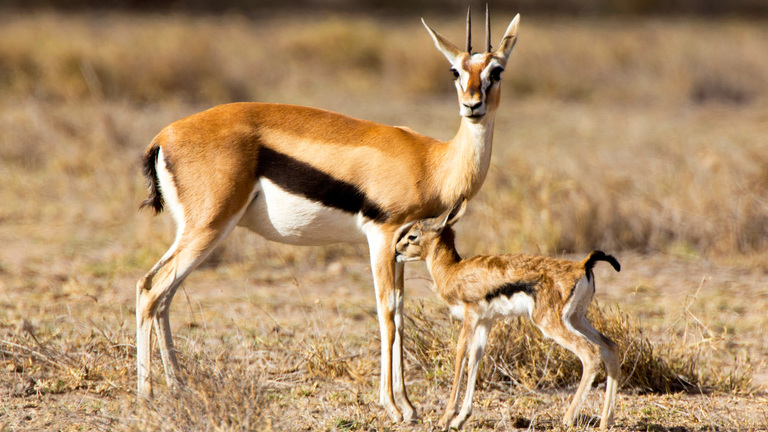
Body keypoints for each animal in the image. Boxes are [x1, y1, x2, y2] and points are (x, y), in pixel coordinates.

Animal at [135, 7, 520, 422]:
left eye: (497, 70)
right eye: (455, 71)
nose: (473, 105)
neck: (433, 161)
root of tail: (163, 138)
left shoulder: (402, 245)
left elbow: (400, 313)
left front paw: (408, 405)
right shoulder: (382, 237)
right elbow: (387, 312)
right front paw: (394, 406)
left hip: (195, 233)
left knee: (162, 294)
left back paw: (178, 388)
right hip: (208, 228)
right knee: (151, 290)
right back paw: (147, 396)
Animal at [394, 198, 621, 430]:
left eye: (412, 236)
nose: (396, 251)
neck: (453, 271)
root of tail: (582, 265)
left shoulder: (470, 317)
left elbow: (461, 353)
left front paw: (447, 418)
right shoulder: (486, 320)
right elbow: (475, 358)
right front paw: (461, 418)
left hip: (551, 324)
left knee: (591, 353)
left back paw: (568, 418)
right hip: (577, 319)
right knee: (610, 348)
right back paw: (606, 421)